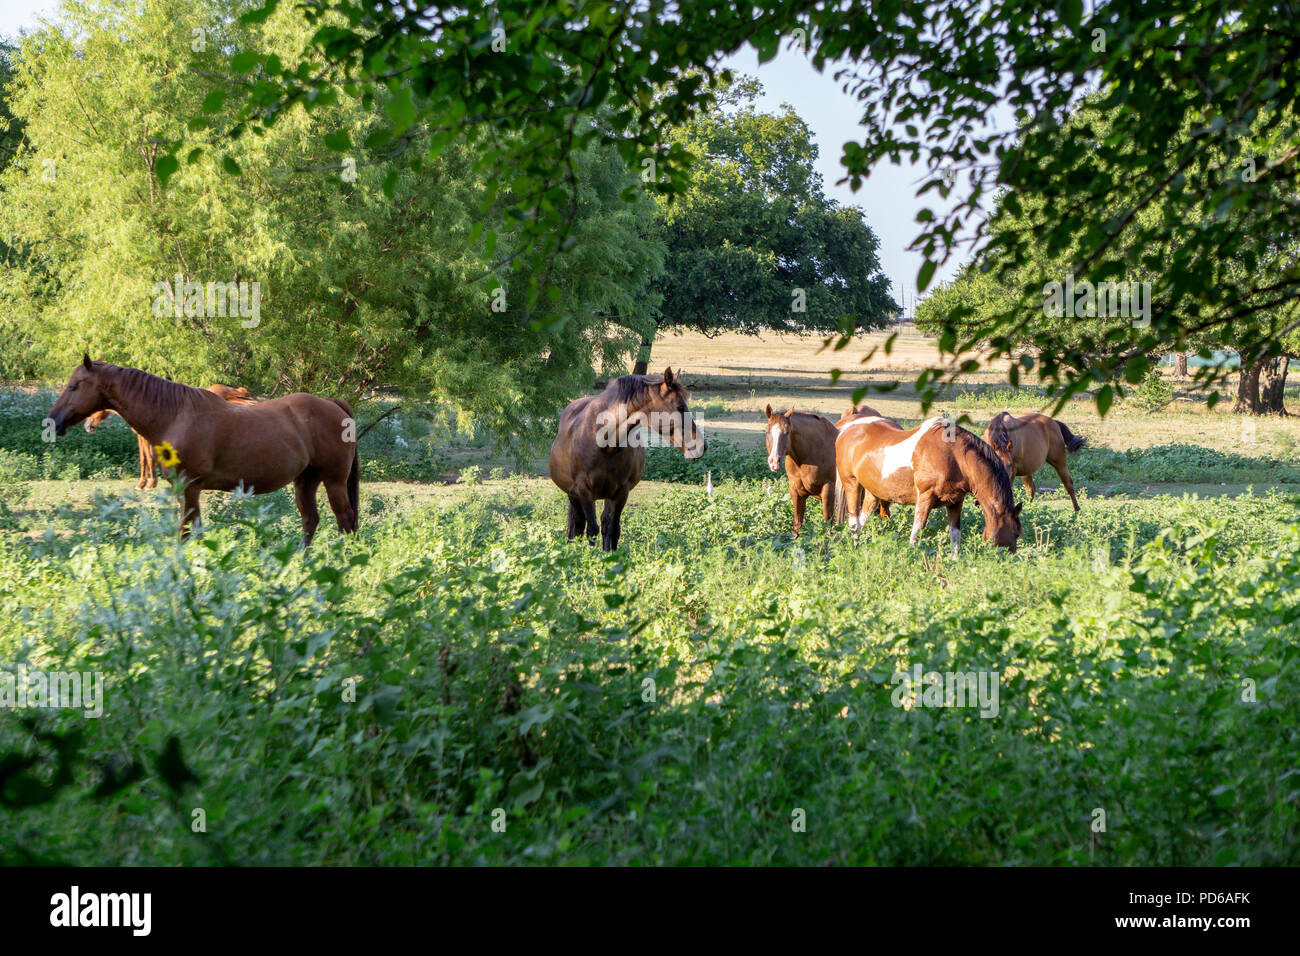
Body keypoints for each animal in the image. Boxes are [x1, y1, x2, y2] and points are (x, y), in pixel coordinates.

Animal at [85, 382, 257, 489]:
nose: (87, 426)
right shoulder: (142, 438)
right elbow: (143, 459)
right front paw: (143, 483)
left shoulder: (146, 438)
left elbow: (149, 458)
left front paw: (149, 484)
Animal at [551, 369, 712, 548]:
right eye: (680, 407)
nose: (702, 446)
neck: (604, 444)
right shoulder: (584, 490)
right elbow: (592, 530)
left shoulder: (621, 493)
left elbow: (613, 530)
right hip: (574, 495)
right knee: (579, 525)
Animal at [832, 416, 1024, 556]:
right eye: (1015, 533)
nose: (1009, 559)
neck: (954, 457)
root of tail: (846, 430)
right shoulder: (925, 497)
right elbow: (916, 532)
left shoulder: (955, 502)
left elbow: (955, 536)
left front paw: (954, 561)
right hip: (852, 485)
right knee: (854, 523)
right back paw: (854, 548)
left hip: (874, 492)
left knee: (862, 519)